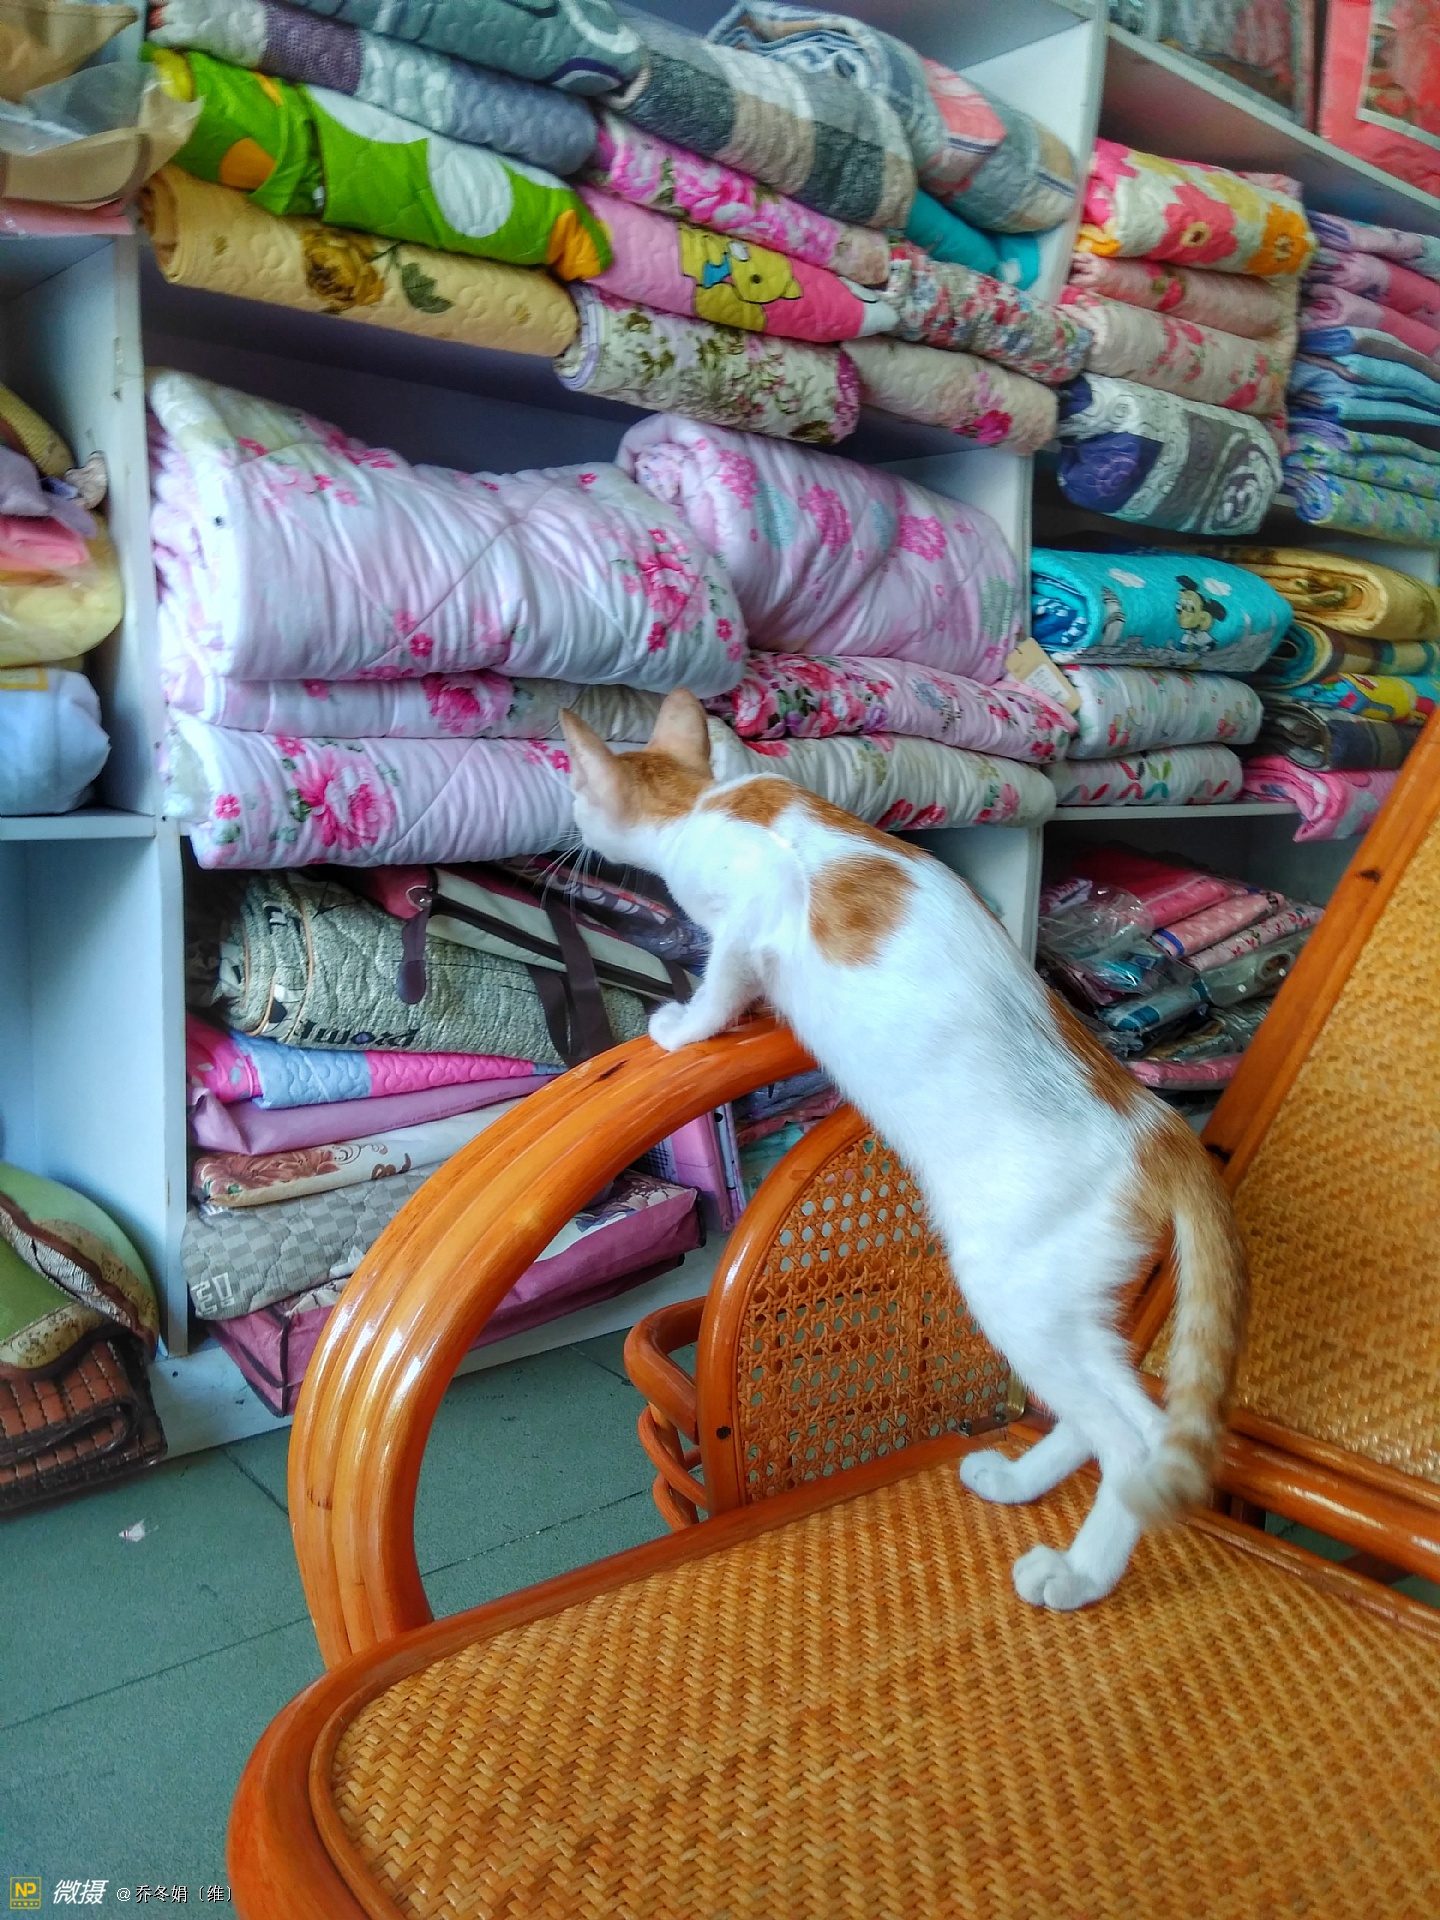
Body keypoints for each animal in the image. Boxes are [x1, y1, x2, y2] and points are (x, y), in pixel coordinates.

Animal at [561, 690, 1249, 1610]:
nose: (568, 833)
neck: (707, 800)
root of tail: (1159, 1125)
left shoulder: (757, 897)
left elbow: (723, 976)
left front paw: (682, 1027)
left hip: (1018, 1293)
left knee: (1137, 1439)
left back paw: (1078, 1574)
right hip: (1079, 1308)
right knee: (1119, 1409)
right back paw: (1021, 1480)